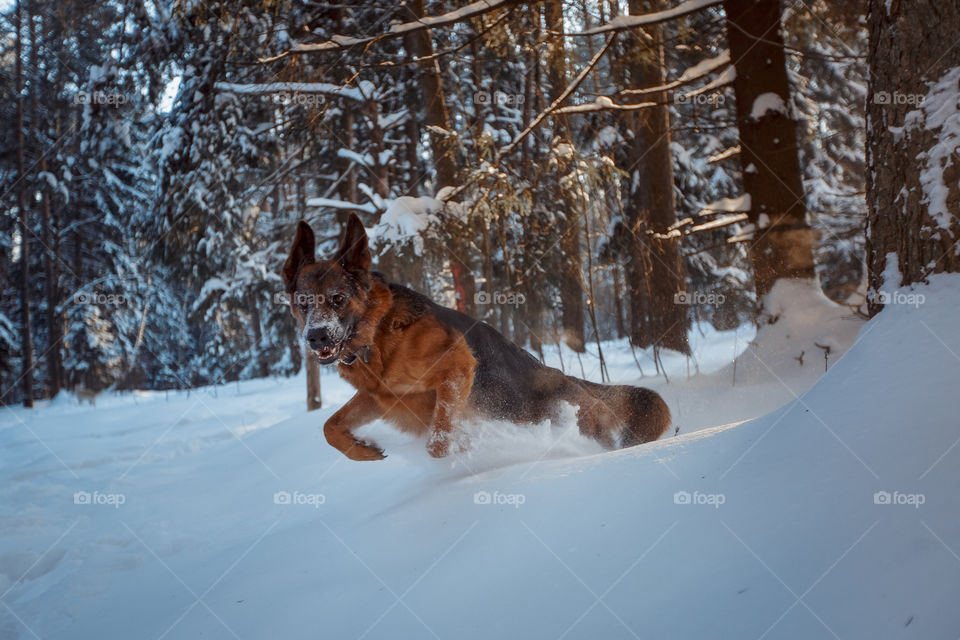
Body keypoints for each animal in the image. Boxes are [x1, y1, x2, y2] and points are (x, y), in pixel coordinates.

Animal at [284, 215, 668, 460]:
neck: (376, 337)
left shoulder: (455, 368)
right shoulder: (378, 398)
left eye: (337, 299)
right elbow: (329, 427)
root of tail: (571, 380)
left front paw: (467, 447)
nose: (316, 337)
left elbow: (438, 441)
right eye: (303, 303)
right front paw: (361, 449)